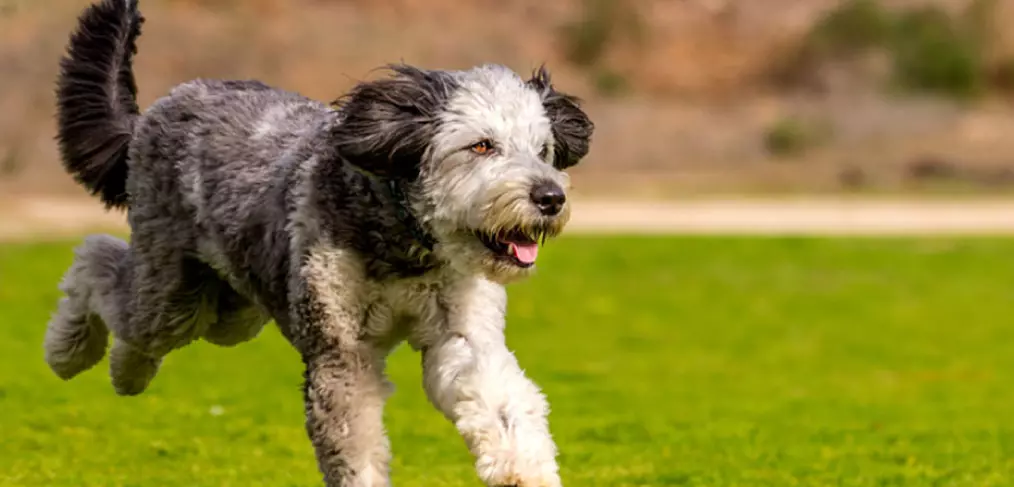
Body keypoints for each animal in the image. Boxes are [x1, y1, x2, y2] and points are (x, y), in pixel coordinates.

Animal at [41, 0, 592, 484]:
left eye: (542, 150)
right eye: (481, 146)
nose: (550, 197)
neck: (402, 240)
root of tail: (151, 117)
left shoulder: (462, 335)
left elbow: (502, 402)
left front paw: (524, 471)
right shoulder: (341, 355)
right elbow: (357, 445)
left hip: (231, 310)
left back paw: (121, 368)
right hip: (173, 293)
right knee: (97, 264)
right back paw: (76, 354)